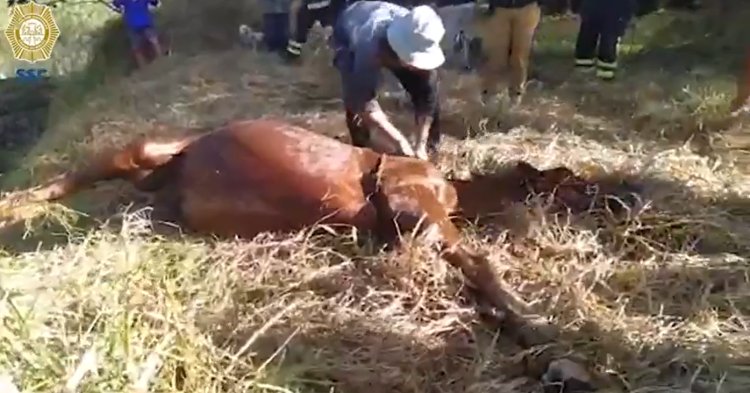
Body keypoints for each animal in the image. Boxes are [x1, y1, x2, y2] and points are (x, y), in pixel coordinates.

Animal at [0, 118, 636, 346]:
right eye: (577, 182)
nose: (632, 196)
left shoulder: (404, 222)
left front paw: (512, 316)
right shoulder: (412, 204)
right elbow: (466, 258)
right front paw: (526, 316)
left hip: (149, 168)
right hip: (144, 147)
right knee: (64, 180)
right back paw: (11, 207)